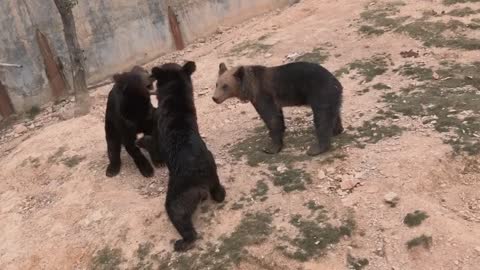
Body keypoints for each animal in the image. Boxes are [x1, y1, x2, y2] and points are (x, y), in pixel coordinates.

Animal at [141, 61, 227, 251]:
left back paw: (182, 243)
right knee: (220, 193)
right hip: (214, 176)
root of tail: (202, 183)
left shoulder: (157, 128)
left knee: (180, 217)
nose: (148, 78)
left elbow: (153, 144)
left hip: (178, 196)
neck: (176, 95)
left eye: (154, 75)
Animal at [212, 62, 344, 155]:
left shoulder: (263, 95)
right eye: (217, 84)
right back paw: (336, 130)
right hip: (331, 97)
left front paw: (270, 148)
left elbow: (271, 118)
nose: (215, 98)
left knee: (322, 118)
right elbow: (278, 116)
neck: (249, 87)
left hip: (319, 92)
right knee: (333, 114)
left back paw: (316, 148)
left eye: (225, 86)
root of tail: (337, 83)